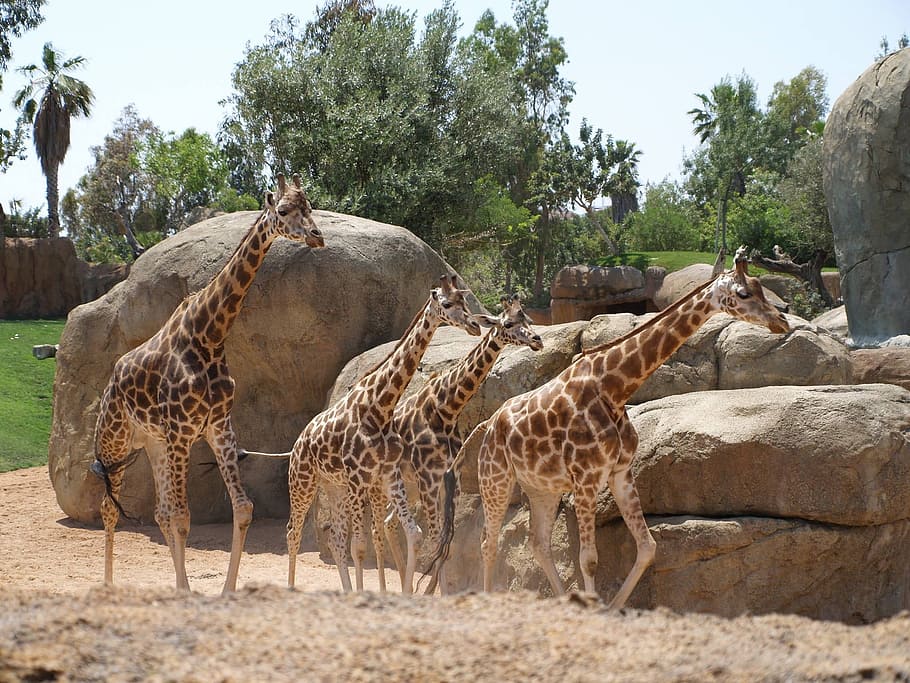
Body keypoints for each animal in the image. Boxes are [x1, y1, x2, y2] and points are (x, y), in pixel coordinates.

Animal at [91, 173, 324, 595]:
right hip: (115, 441)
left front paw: (225, 589)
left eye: (310, 206)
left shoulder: (217, 428)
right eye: (283, 211)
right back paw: (109, 585)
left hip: (154, 444)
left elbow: (242, 509)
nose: (317, 236)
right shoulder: (183, 432)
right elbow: (184, 517)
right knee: (110, 506)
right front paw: (187, 590)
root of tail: (110, 383)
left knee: (159, 511)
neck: (210, 336)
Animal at [285, 274, 482, 595]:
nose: (475, 325)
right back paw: (291, 589)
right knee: (294, 532)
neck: (379, 409)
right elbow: (360, 546)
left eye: (464, 300)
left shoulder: (387, 475)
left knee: (335, 539)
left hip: (334, 487)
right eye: (446, 303)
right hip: (303, 481)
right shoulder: (358, 478)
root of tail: (300, 439)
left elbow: (411, 534)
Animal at [383, 294, 543, 590]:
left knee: (388, 522)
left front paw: (433, 590)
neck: (446, 408)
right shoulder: (429, 478)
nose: (538, 340)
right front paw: (437, 592)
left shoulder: (449, 478)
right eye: (508, 323)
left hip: (407, 485)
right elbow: (437, 539)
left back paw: (402, 586)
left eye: (529, 319)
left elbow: (448, 541)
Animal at [430, 250, 790, 608]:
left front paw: (612, 605)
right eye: (743, 293)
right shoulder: (586, 479)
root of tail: (488, 426)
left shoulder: (620, 472)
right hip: (496, 479)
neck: (615, 389)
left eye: (760, 287)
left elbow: (648, 547)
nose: (782, 320)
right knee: (488, 542)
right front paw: (595, 603)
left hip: (541, 487)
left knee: (538, 543)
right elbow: (589, 559)